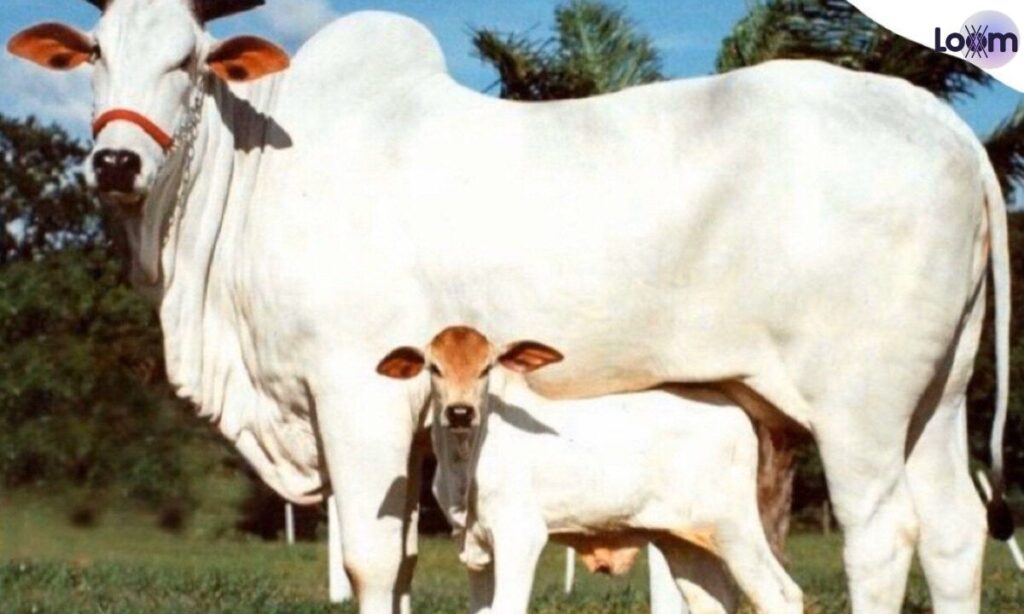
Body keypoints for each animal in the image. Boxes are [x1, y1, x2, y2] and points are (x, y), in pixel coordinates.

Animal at [377, 325, 804, 614]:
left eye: (487, 368)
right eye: (433, 367)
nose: (460, 412)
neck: (466, 462)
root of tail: (732, 409)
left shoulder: (521, 535)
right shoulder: (476, 548)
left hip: (734, 528)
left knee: (781, 594)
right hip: (683, 539)